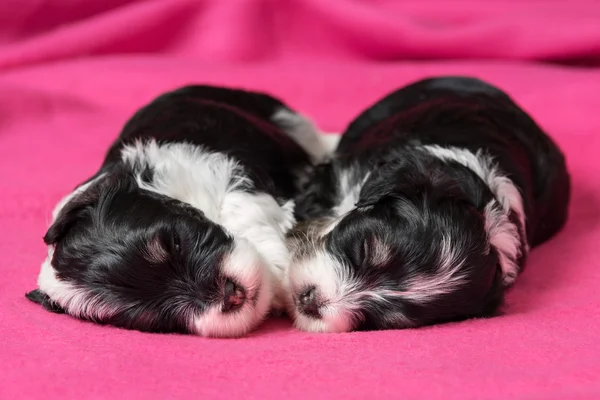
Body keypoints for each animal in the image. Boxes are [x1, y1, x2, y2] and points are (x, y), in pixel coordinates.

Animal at [25, 84, 326, 338]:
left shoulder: (215, 166)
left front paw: (276, 264)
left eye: (174, 242)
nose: (232, 295)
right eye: (155, 319)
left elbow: (242, 202)